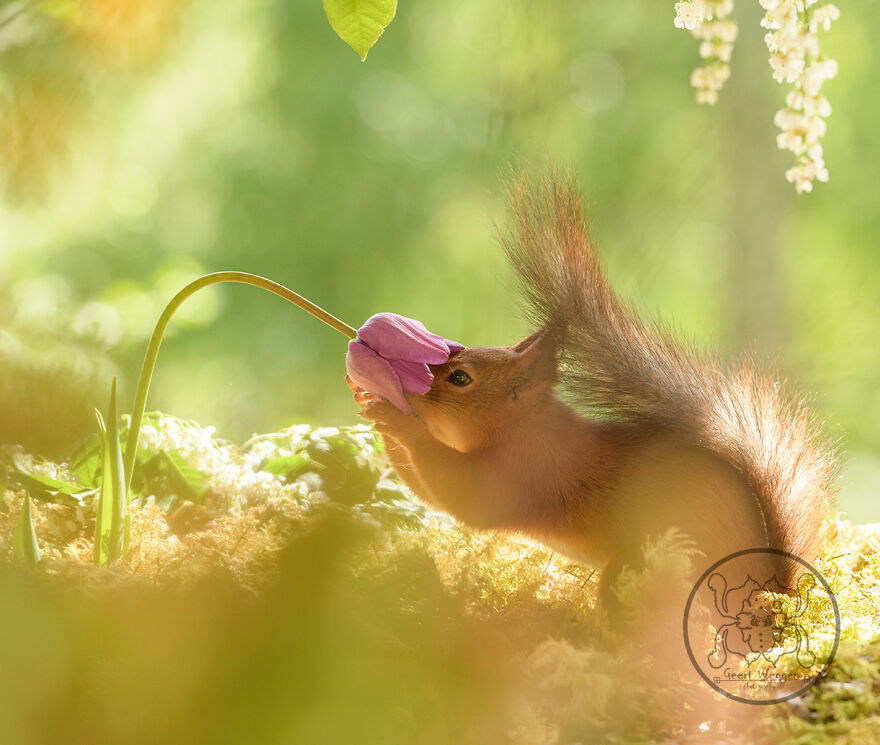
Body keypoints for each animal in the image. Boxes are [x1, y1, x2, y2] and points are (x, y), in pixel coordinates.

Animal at [352, 172, 838, 607]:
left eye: (460, 378)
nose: (411, 389)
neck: (523, 426)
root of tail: (771, 589)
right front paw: (371, 402)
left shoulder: (524, 472)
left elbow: (458, 496)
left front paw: (399, 420)